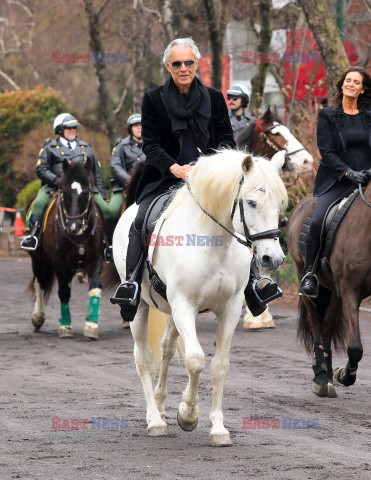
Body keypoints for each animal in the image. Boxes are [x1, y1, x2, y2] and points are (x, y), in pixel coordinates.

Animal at [26, 159, 104, 340]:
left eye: (87, 191)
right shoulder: (60, 263)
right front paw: (66, 327)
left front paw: (91, 324)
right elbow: (63, 292)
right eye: (64, 191)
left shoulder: (95, 260)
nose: (73, 226)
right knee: (40, 282)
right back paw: (38, 317)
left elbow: (95, 287)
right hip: (38, 259)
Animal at [112, 149, 288, 446]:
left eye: (280, 204)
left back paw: (161, 404)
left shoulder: (230, 308)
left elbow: (219, 366)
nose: (272, 258)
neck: (215, 244)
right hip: (141, 307)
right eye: (251, 202)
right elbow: (195, 360)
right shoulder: (184, 306)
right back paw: (154, 419)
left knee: (166, 348)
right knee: (144, 358)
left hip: (170, 310)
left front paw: (218, 428)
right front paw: (188, 415)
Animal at [286, 181, 370, 398]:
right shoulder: (350, 290)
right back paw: (321, 376)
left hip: (335, 291)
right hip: (303, 274)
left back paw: (327, 375)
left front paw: (340, 374)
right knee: (315, 322)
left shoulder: (345, 291)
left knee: (327, 326)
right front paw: (345, 375)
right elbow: (355, 347)